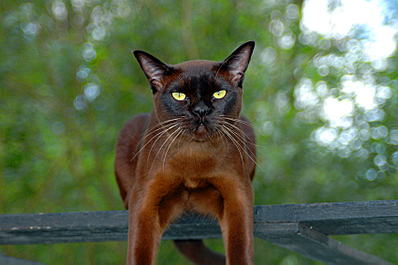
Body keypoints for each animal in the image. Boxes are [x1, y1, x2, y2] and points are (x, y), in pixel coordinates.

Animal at [115, 40, 256, 262]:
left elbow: (240, 249)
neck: (194, 157)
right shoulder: (145, 198)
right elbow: (139, 251)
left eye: (219, 94)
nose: (201, 111)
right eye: (179, 96)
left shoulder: (237, 193)